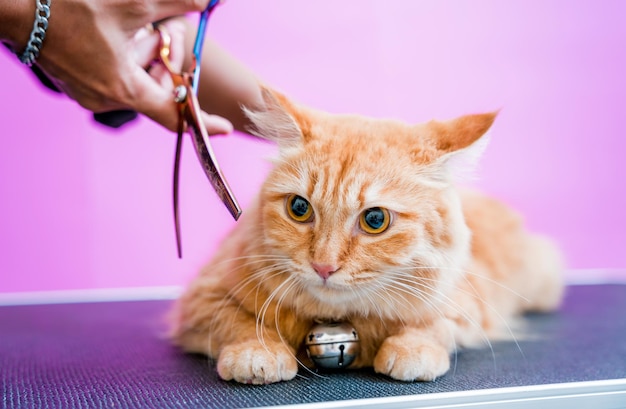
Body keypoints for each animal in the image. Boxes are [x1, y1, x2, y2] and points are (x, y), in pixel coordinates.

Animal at [169, 87, 560, 384]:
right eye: (299, 208)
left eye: (375, 219)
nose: (323, 266)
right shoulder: (202, 299)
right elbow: (241, 323)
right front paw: (257, 353)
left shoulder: (468, 305)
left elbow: (434, 326)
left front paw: (411, 350)